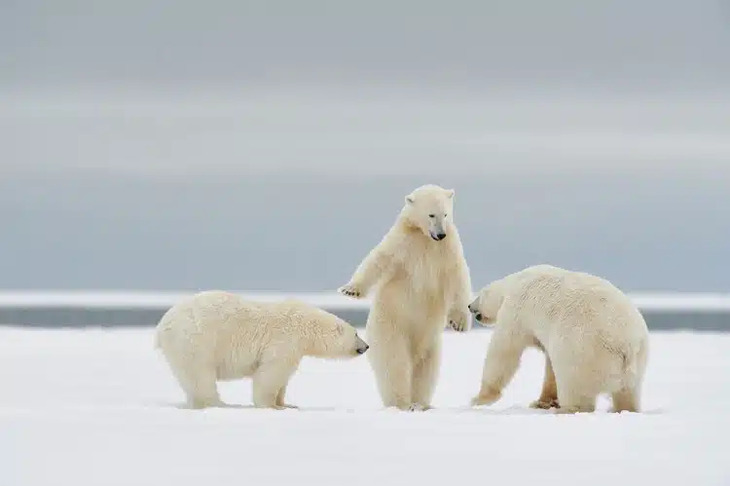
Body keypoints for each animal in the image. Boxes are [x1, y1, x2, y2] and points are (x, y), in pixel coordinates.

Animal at [154, 290, 370, 408]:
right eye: (356, 334)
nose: (367, 346)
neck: (306, 324)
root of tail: (161, 326)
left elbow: (283, 379)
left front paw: (287, 403)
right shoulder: (285, 340)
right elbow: (271, 373)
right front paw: (271, 406)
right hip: (195, 340)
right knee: (200, 375)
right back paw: (219, 404)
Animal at [336, 184, 472, 412]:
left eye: (445, 214)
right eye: (431, 214)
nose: (440, 234)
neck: (425, 238)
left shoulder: (447, 249)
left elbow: (457, 278)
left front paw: (459, 322)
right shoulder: (403, 243)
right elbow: (378, 259)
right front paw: (351, 290)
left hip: (431, 343)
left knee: (426, 370)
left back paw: (421, 403)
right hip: (391, 329)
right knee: (396, 364)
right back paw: (402, 403)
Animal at [466, 266, 648, 414]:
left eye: (479, 295)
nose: (469, 306)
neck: (516, 281)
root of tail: (627, 345)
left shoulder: (516, 310)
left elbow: (504, 350)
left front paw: (479, 398)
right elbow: (550, 366)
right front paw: (542, 402)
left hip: (584, 351)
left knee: (574, 385)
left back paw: (568, 409)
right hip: (637, 362)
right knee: (627, 393)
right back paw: (624, 409)